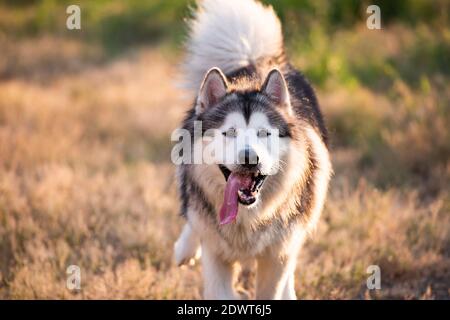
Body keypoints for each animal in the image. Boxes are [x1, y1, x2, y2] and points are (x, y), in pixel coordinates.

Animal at [172, 0, 330, 300]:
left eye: (264, 133)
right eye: (230, 133)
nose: (249, 158)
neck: (248, 218)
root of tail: (254, 60)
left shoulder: (277, 254)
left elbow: (274, 286)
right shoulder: (216, 254)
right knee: (192, 213)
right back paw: (184, 248)